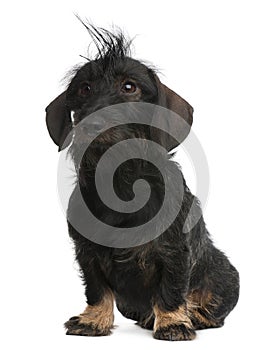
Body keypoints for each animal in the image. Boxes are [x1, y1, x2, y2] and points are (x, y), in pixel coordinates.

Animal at [45, 23, 239, 340]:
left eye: (129, 87)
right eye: (84, 88)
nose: (92, 125)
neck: (120, 183)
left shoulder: (174, 251)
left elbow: (171, 288)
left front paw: (173, 322)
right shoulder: (87, 252)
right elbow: (97, 289)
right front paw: (93, 320)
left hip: (225, 277)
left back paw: (193, 315)